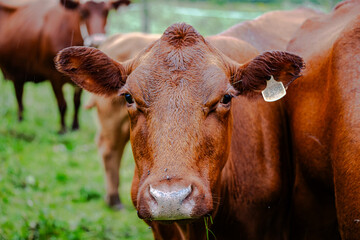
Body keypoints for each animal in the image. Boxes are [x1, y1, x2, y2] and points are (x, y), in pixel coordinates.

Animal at [0, 0, 129, 133]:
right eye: (83, 12)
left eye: (106, 11)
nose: (97, 40)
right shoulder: (54, 77)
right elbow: (62, 104)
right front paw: (63, 129)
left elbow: (77, 102)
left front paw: (75, 126)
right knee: (19, 95)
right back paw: (20, 121)